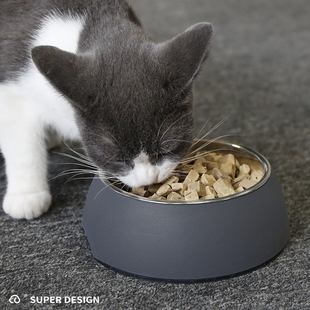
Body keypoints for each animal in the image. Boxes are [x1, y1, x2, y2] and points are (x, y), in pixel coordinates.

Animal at [0, 0, 213, 219]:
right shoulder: (12, 86)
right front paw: (26, 195)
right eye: (117, 158)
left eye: (167, 150)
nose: (148, 179)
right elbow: (21, 142)